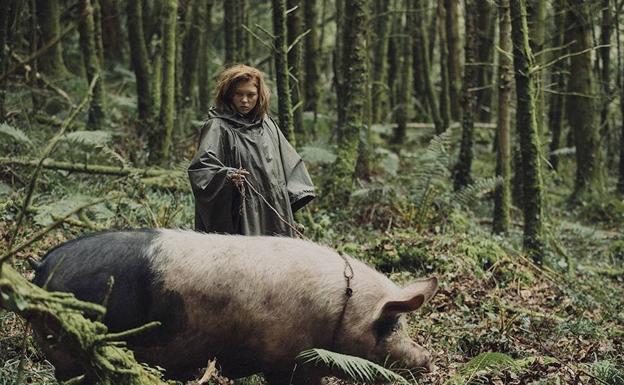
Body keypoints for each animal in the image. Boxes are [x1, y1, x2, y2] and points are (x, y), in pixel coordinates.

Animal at [31, 230, 436, 382]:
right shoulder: (289, 361)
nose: (427, 358)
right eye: (393, 325)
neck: (341, 311)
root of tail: (43, 264)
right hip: (70, 346)